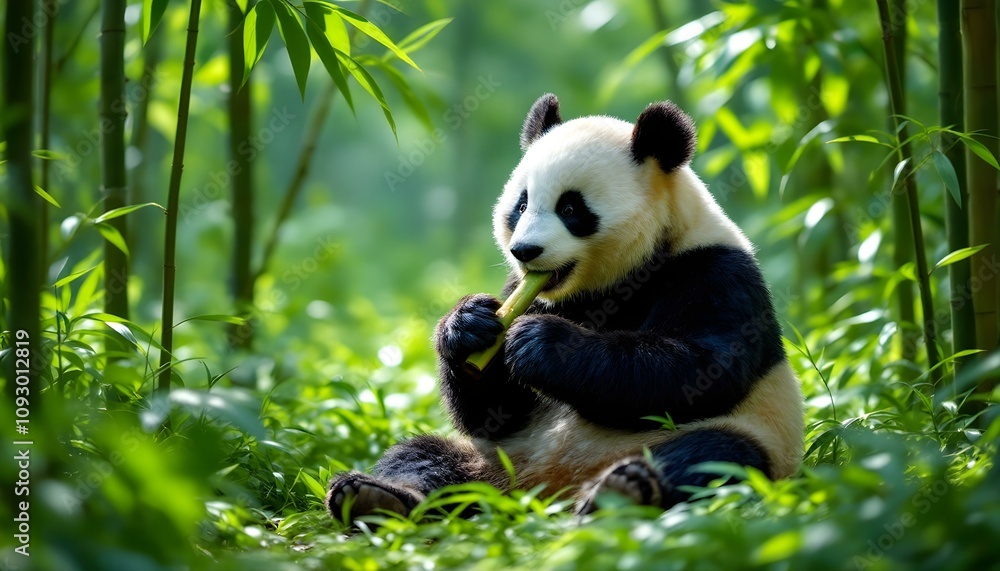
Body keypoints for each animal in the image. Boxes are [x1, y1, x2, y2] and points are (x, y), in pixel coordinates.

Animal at [327, 94, 804, 520]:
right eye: (521, 204)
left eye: (571, 208)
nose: (525, 251)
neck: (616, 278)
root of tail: (544, 491)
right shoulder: (522, 288)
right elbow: (492, 415)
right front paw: (468, 326)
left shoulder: (715, 272)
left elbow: (700, 371)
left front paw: (542, 343)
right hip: (499, 457)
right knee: (424, 455)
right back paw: (374, 497)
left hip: (749, 436)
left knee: (713, 455)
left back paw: (621, 491)